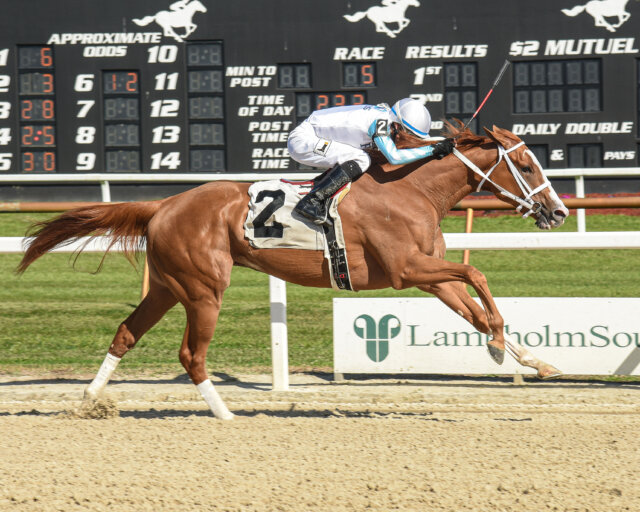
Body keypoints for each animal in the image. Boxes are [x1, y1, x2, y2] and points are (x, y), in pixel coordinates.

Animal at [17, 124, 568, 420]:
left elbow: (473, 307)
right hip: (204, 288)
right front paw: (503, 349)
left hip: (170, 287)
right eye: (526, 164)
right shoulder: (407, 268)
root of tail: (163, 204)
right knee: (191, 353)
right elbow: (478, 277)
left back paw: (88, 401)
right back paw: (225, 413)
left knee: (126, 333)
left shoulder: (427, 276)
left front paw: (529, 358)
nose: (559, 212)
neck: (411, 190)